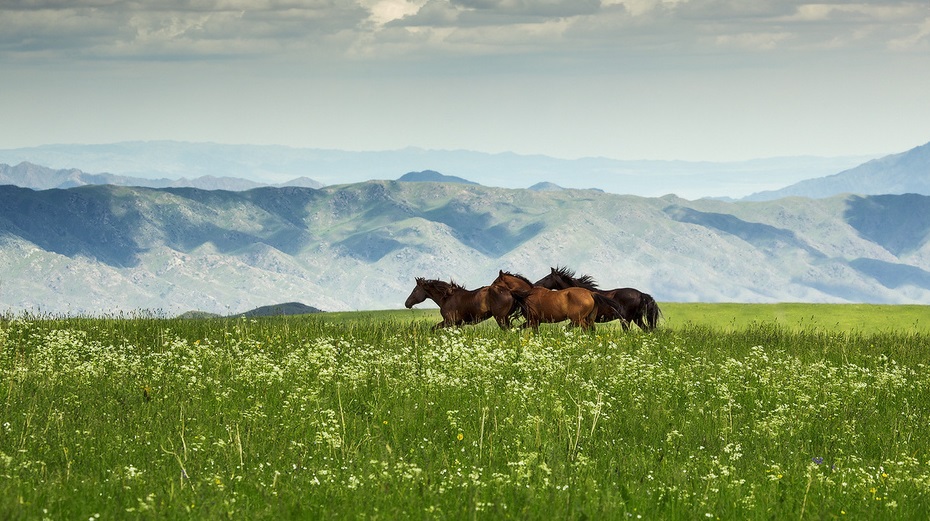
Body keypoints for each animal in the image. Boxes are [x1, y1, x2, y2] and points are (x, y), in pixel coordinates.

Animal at [490, 270, 620, 332]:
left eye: (496, 281)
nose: (489, 288)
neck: (527, 294)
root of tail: (591, 294)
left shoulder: (534, 321)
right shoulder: (533, 321)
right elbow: (518, 330)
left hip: (578, 320)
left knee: (586, 330)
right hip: (589, 319)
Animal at [528, 266, 660, 332]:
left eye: (547, 277)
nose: (535, 284)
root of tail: (641, 294)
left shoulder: (579, 319)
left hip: (625, 320)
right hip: (637, 318)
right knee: (647, 330)